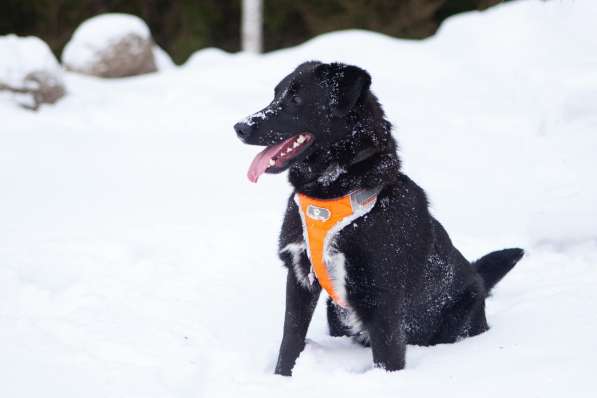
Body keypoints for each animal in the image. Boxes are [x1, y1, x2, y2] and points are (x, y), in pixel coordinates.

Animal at [233, 60, 520, 374]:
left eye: (296, 99)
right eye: (275, 96)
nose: (240, 127)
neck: (332, 194)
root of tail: (477, 277)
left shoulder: (382, 299)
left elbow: (388, 359)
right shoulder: (299, 276)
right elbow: (290, 341)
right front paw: (283, 378)